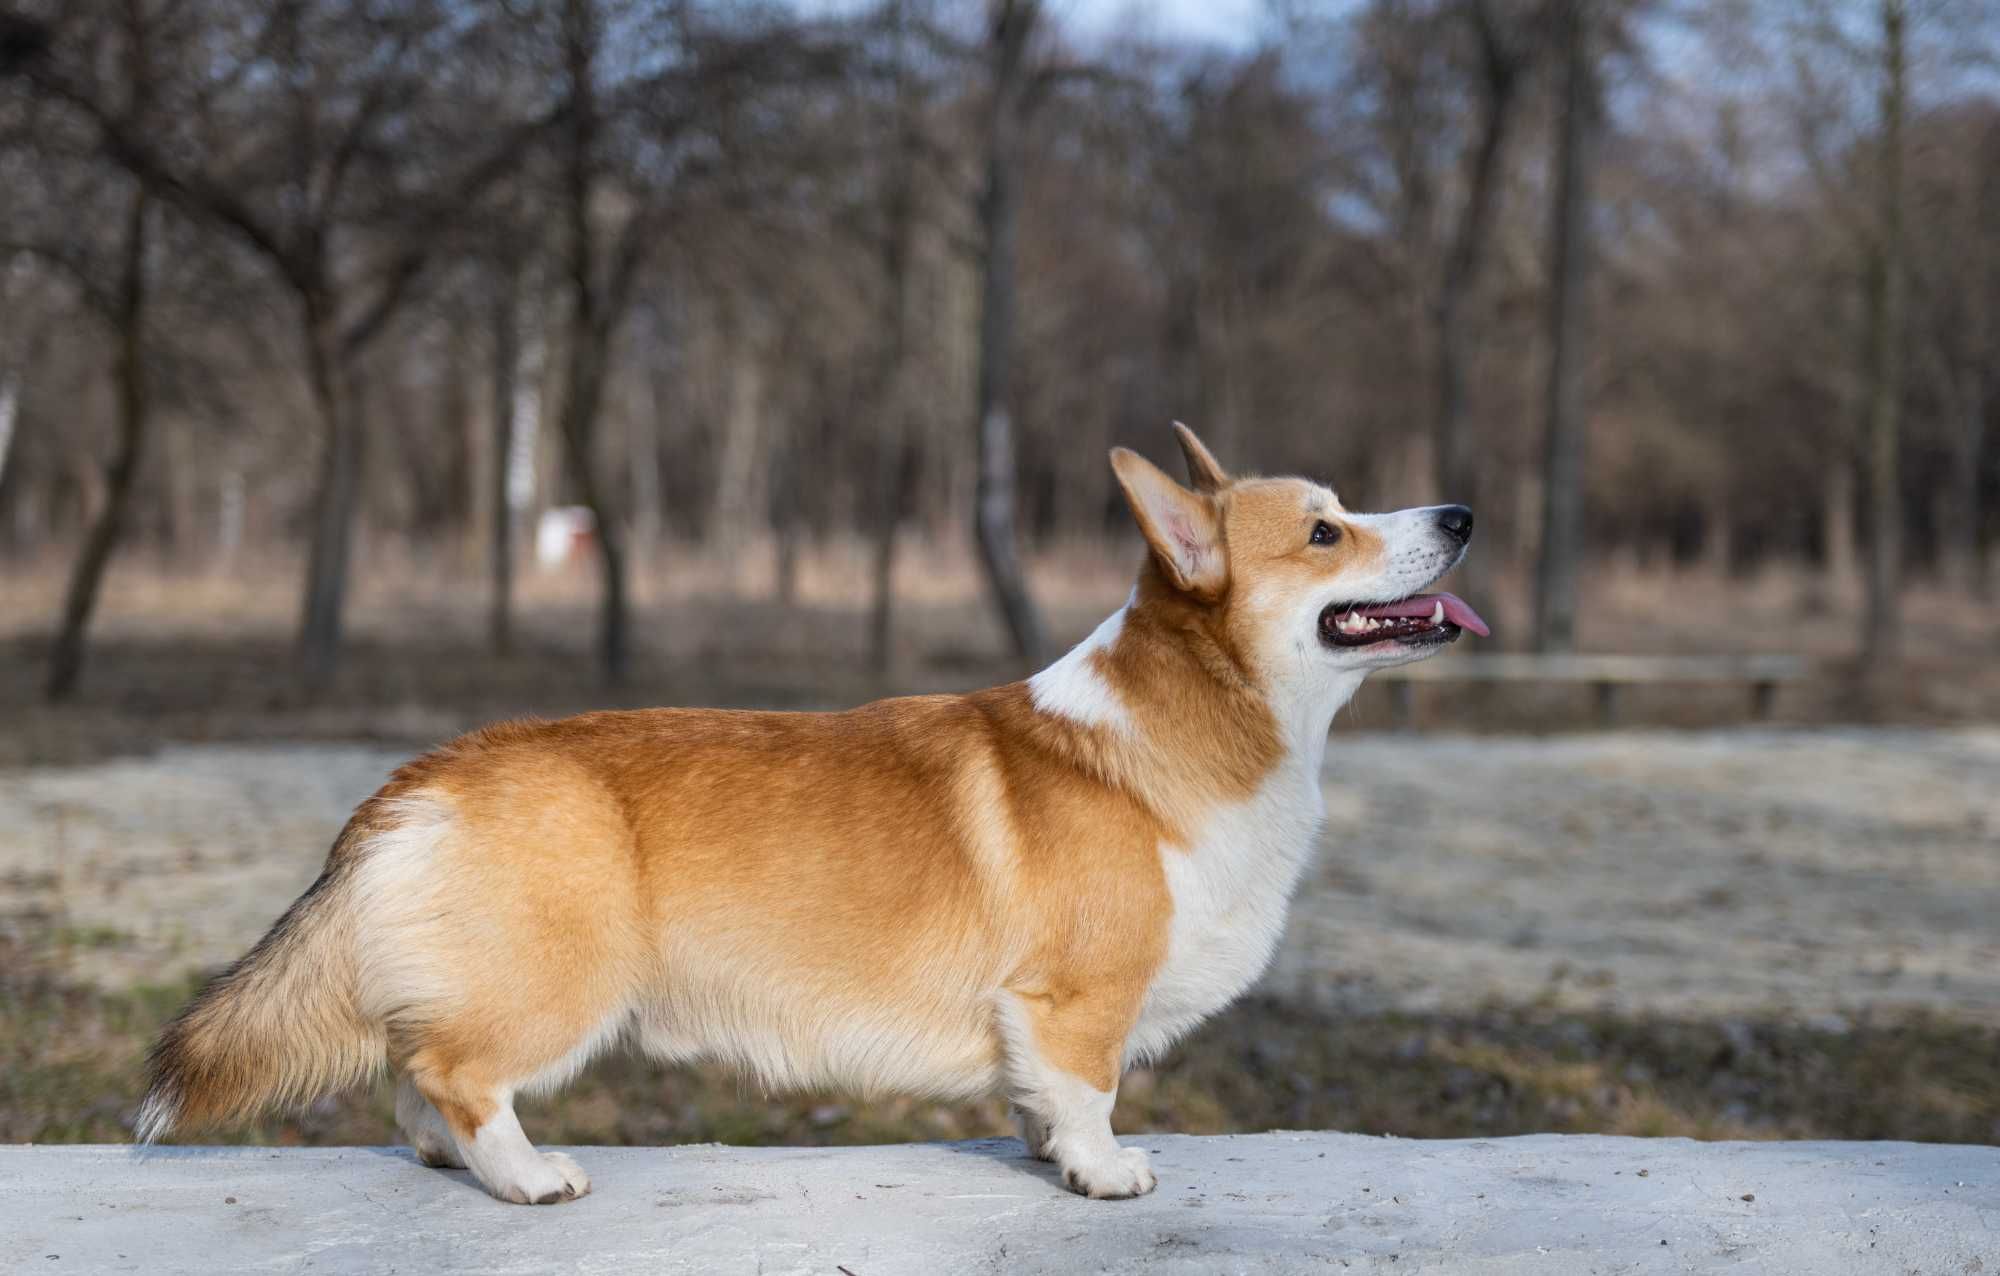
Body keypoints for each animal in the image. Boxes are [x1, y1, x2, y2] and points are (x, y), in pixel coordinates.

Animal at [137, 428, 1488, 1208]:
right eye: (1324, 529)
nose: (1462, 515)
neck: (1193, 725)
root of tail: (419, 776)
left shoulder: (1035, 1024)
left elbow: (1038, 1099)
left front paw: (1048, 1156)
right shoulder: (1073, 1000)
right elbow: (1088, 1088)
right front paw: (1102, 1171)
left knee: (414, 1070)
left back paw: (450, 1161)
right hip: (559, 985)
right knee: (453, 1071)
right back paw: (525, 1173)